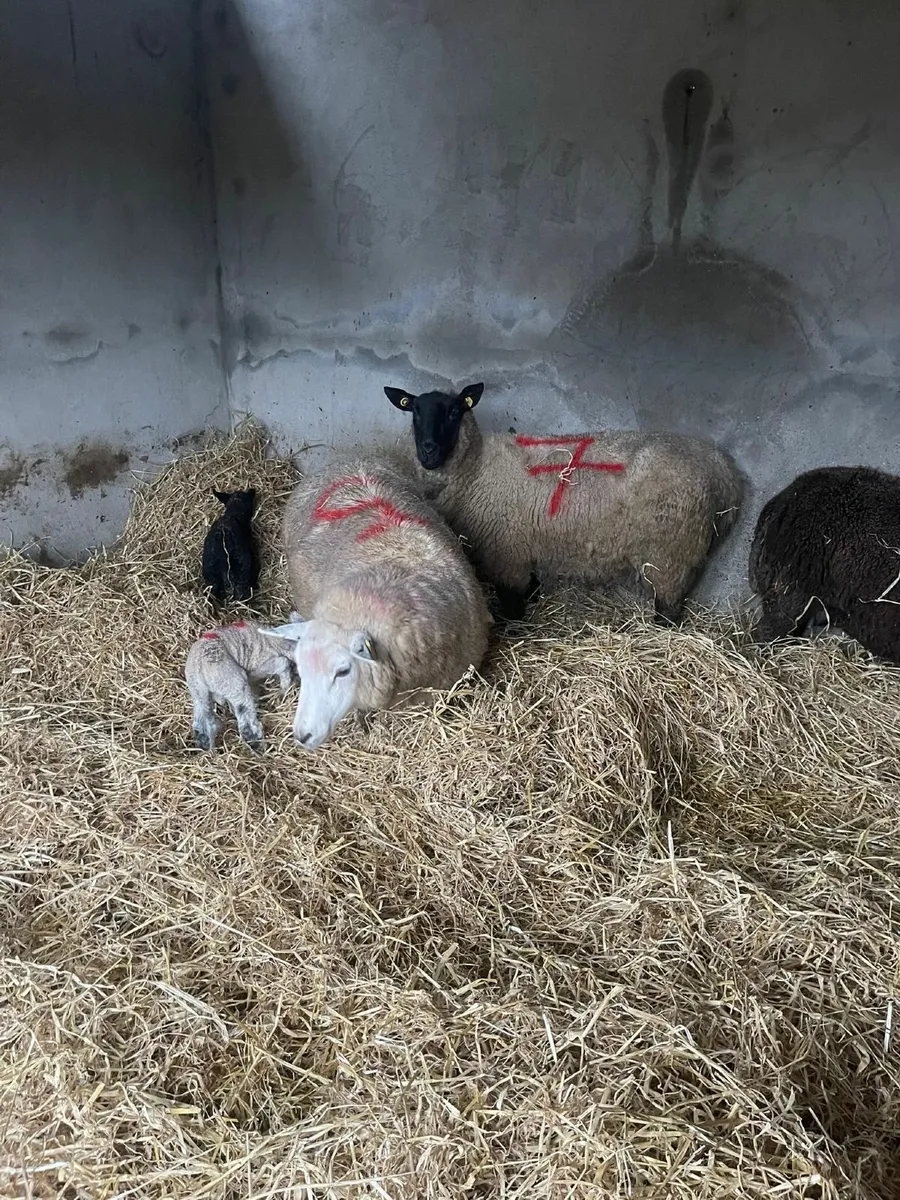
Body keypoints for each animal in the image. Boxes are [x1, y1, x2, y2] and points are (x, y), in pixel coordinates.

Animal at [185, 618, 296, 751]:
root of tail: (200, 668)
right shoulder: (259, 665)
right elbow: (283, 664)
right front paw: (283, 691)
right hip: (234, 682)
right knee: (247, 723)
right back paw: (259, 747)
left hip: (198, 690)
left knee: (203, 724)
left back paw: (208, 748)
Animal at [385, 382, 743, 621]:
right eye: (414, 411)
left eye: (454, 411)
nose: (428, 450)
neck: (476, 466)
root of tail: (725, 472)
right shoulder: (522, 549)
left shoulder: (505, 554)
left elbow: (513, 607)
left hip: (671, 556)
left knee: (669, 609)